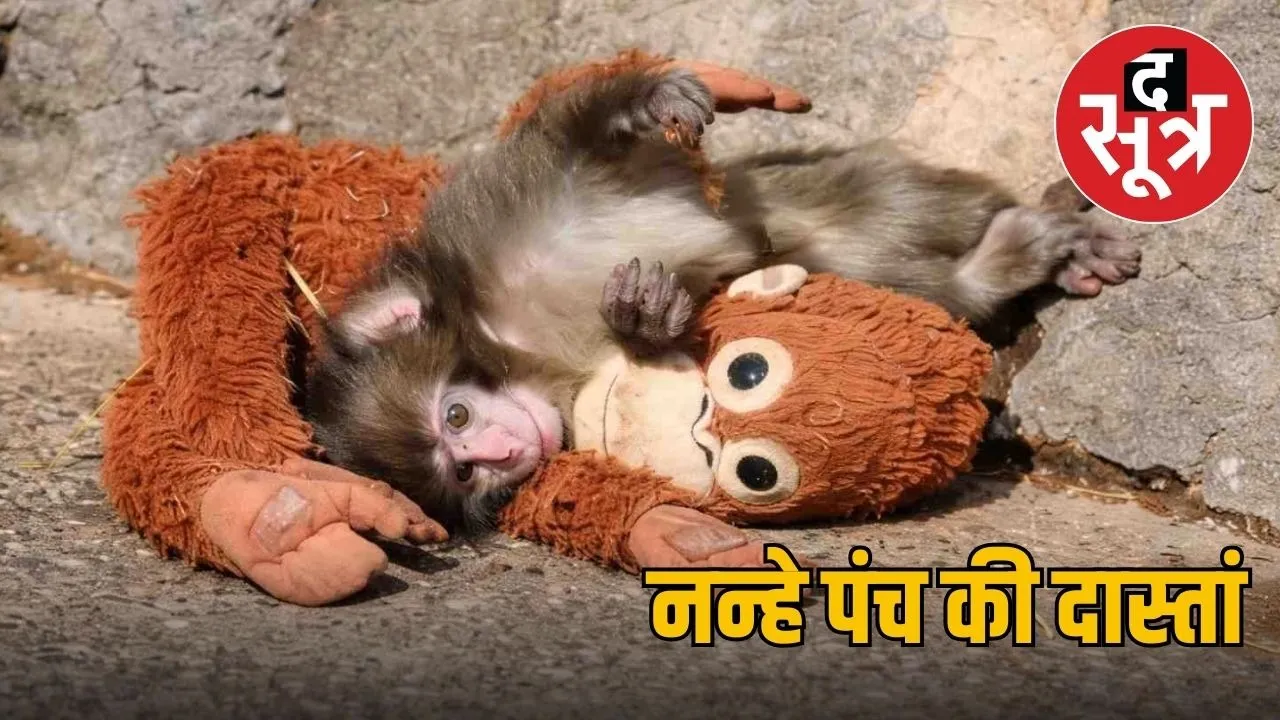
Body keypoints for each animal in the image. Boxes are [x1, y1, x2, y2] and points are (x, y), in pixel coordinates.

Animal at [304, 64, 1141, 532]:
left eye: (455, 416)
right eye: (462, 473)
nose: (505, 453)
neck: (517, 341)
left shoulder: (495, 220)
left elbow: (570, 135)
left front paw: (643, 98)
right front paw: (645, 317)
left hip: (840, 183)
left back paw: (1032, 233)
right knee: (904, 277)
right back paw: (1007, 259)